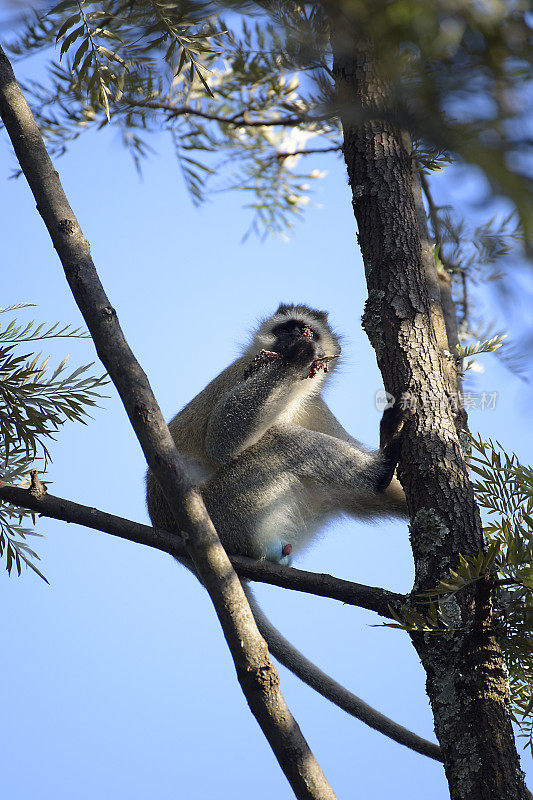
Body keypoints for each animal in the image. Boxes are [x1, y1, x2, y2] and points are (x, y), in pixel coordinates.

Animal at [144, 304, 440, 760]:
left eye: (307, 330)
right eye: (286, 329)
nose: (296, 342)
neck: (292, 395)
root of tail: (180, 540)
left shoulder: (317, 406)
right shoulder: (245, 370)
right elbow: (224, 438)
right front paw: (295, 360)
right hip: (226, 510)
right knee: (280, 440)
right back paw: (377, 467)